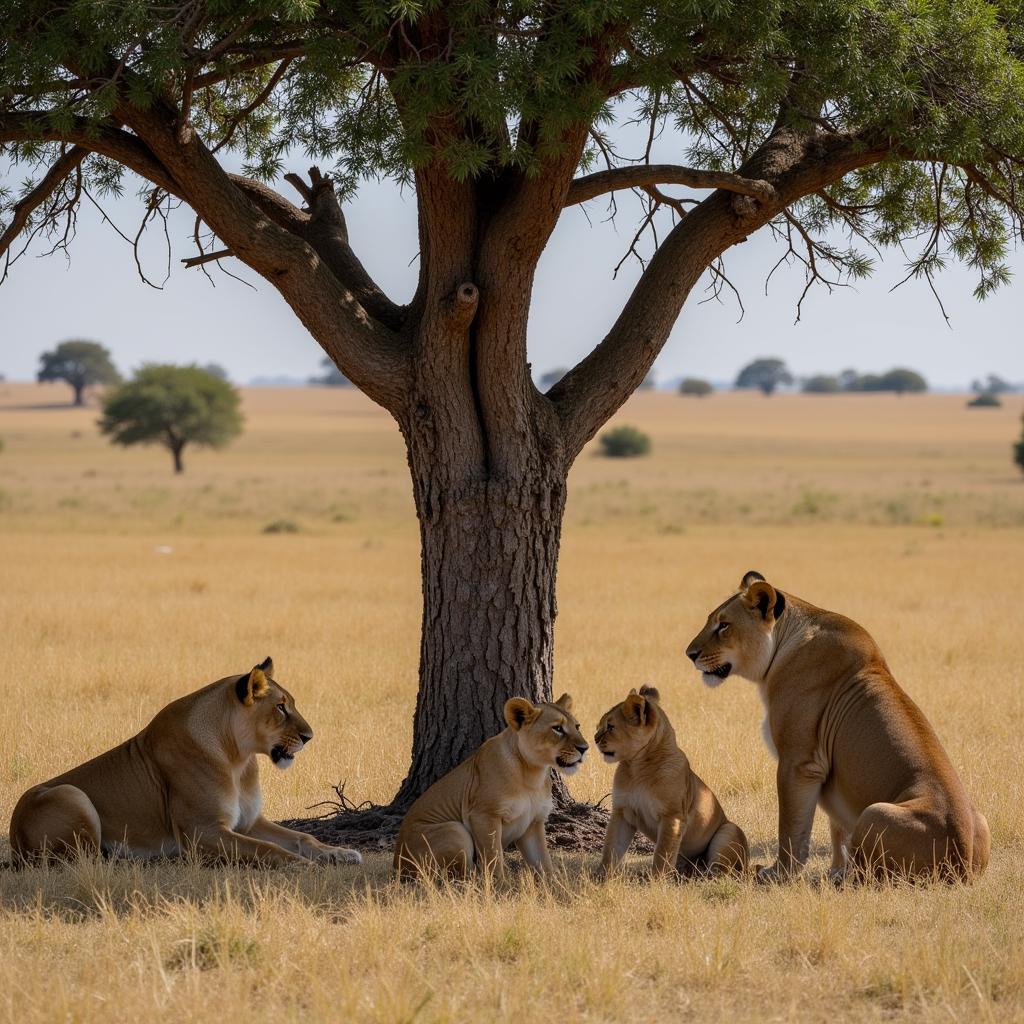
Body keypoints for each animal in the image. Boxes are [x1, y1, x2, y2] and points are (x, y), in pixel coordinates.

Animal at [7, 659, 360, 868]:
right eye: (281, 707)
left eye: (292, 704)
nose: (309, 736)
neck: (239, 758)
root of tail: (13, 838)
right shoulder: (200, 833)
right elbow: (265, 849)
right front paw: (305, 865)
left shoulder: (248, 821)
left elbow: (302, 838)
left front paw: (338, 853)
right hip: (71, 794)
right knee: (85, 859)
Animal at [391, 696, 585, 880]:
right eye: (557, 728)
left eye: (577, 726)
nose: (585, 748)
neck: (532, 773)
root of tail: (397, 866)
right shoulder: (483, 815)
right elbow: (493, 855)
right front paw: (501, 885)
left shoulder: (534, 822)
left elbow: (543, 860)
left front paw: (555, 884)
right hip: (455, 830)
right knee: (459, 877)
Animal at [598, 684, 749, 876]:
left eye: (610, 727)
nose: (594, 738)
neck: (637, 767)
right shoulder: (622, 812)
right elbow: (611, 848)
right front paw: (600, 876)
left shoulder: (672, 816)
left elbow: (662, 854)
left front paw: (656, 880)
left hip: (728, 830)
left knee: (724, 872)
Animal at [688, 573, 991, 884]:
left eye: (724, 625)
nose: (690, 654)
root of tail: (963, 861)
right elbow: (837, 828)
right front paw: (834, 867)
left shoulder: (798, 762)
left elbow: (791, 827)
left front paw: (780, 874)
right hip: (980, 819)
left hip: (875, 812)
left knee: (868, 876)